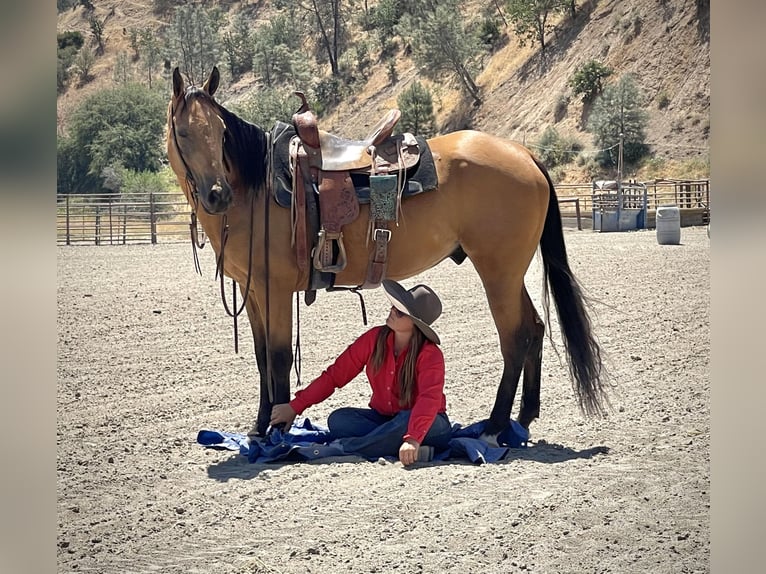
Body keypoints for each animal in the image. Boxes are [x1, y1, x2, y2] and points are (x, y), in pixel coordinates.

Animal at [168, 65, 612, 438]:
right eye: (185, 133)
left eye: (220, 133)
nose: (217, 194)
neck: (256, 186)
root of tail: (523, 154)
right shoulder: (255, 293)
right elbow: (262, 357)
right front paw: (260, 427)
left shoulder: (274, 291)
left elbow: (277, 358)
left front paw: (277, 430)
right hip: (510, 273)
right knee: (535, 329)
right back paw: (523, 418)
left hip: (498, 273)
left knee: (515, 337)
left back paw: (496, 424)